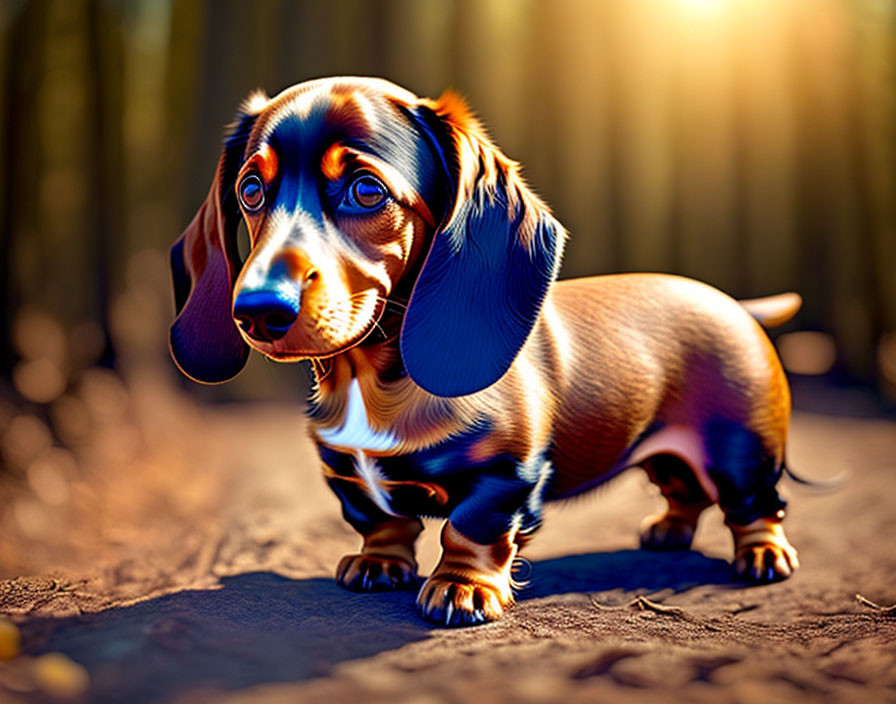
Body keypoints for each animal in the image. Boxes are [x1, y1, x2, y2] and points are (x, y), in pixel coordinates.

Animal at [172, 77, 800, 628]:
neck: (371, 382)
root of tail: (735, 305)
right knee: (683, 489)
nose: (257, 311)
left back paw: (764, 554)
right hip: (670, 455)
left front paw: (462, 587)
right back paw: (669, 528)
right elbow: (379, 520)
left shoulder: (507, 474)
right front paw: (380, 562)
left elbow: (470, 527)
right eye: (251, 190)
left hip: (739, 448)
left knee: (755, 504)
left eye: (366, 190)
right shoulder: (345, 473)